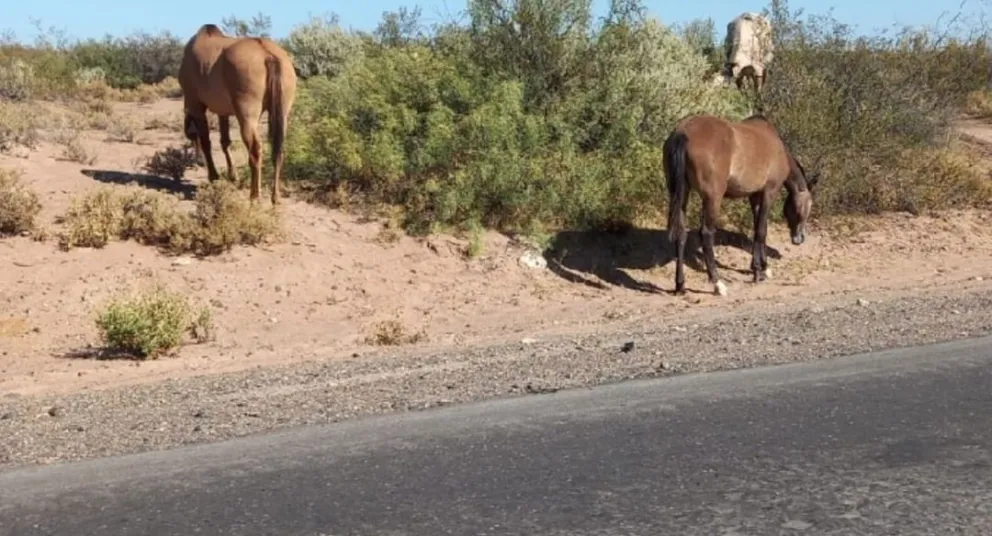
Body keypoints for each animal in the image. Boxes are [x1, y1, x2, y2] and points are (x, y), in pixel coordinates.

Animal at [178, 24, 298, 205]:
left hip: (246, 115)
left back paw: (254, 196)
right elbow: (225, 141)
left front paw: (214, 176)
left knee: (255, 149)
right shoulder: (223, 112)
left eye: (191, 135)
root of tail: (268, 55)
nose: (197, 162)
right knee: (279, 148)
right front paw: (232, 176)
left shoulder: (196, 106)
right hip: (283, 112)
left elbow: (206, 142)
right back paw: (275, 196)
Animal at [663, 113, 820, 297]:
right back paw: (718, 284)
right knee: (706, 234)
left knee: (681, 234)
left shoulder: (755, 197)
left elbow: (759, 229)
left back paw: (680, 285)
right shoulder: (769, 193)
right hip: (712, 198)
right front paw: (759, 271)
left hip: (680, 193)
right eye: (808, 205)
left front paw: (761, 267)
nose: (799, 238)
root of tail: (683, 131)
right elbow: (761, 231)